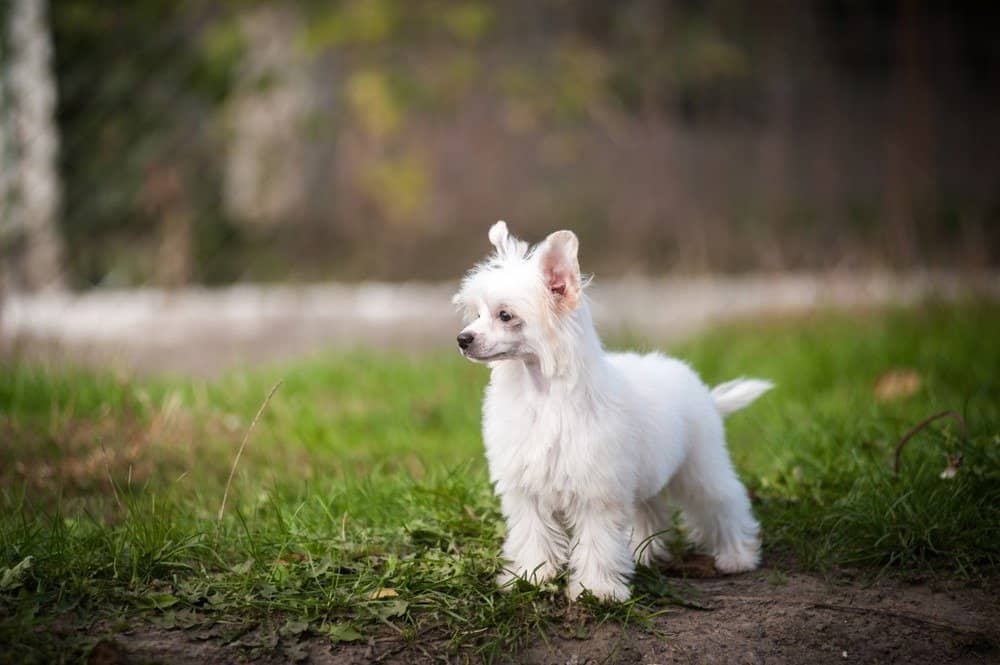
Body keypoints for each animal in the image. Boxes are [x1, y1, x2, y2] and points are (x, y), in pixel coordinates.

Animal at [454, 223, 772, 600]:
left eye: (505, 315)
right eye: (477, 314)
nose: (463, 339)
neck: (543, 395)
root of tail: (703, 393)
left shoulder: (597, 493)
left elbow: (596, 542)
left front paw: (596, 589)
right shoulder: (528, 491)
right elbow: (534, 535)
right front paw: (531, 576)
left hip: (700, 468)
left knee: (723, 504)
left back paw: (737, 555)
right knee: (650, 512)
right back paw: (642, 553)